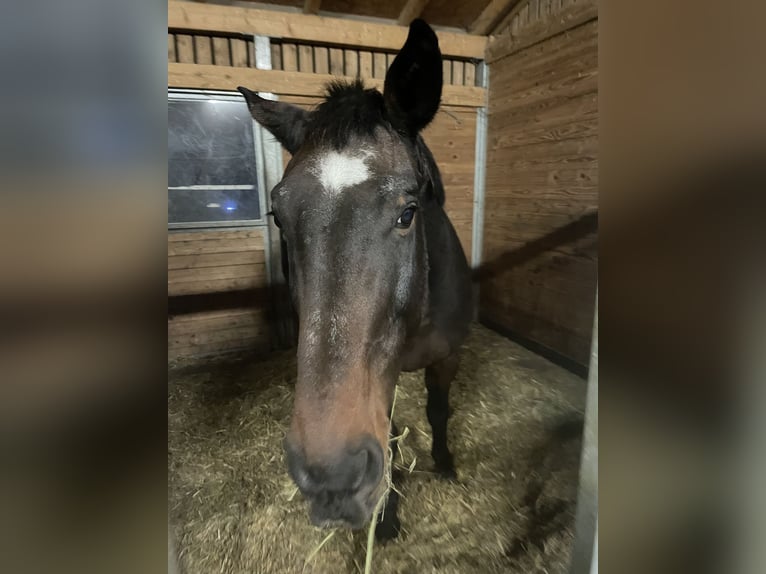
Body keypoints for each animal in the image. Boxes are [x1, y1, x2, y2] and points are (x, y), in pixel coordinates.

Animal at [237, 19, 473, 541]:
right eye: (278, 216)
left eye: (408, 212)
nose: (331, 477)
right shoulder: (381, 380)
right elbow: (389, 438)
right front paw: (386, 516)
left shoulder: (448, 357)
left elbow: (438, 411)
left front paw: (445, 463)